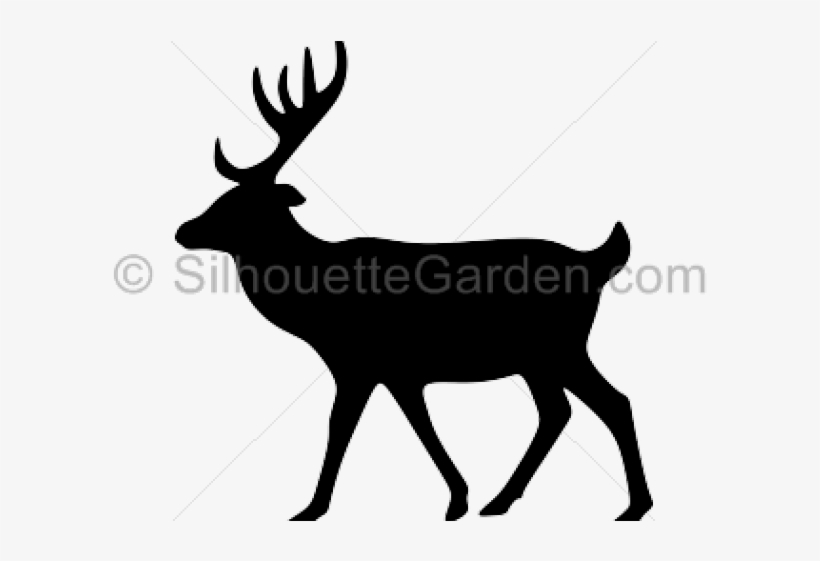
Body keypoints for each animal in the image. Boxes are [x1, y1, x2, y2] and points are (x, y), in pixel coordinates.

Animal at [176, 41, 653, 521]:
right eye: (223, 197)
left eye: (242, 205)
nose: (184, 230)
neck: (318, 307)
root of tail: (596, 261)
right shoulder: (399, 371)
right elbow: (418, 425)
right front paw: (459, 498)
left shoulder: (360, 362)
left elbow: (340, 425)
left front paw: (311, 508)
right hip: (538, 359)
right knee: (559, 411)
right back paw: (501, 500)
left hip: (561, 347)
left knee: (612, 402)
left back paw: (635, 506)